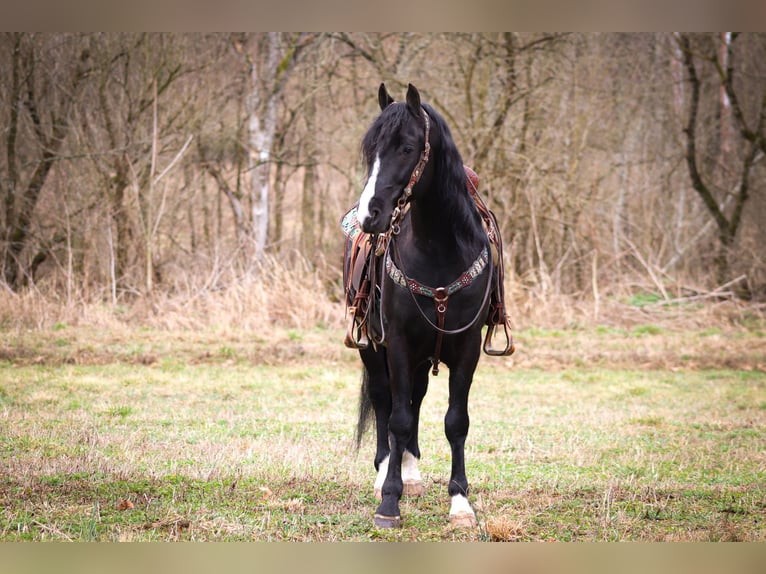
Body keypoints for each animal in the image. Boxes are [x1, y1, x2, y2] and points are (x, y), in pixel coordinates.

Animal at [356, 82, 498, 532]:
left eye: (406, 147)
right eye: (370, 150)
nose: (370, 215)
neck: (440, 249)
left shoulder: (467, 348)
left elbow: (456, 422)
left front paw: (460, 502)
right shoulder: (398, 343)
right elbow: (397, 418)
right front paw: (389, 501)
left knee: (414, 398)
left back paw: (412, 473)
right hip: (373, 348)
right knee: (386, 400)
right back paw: (387, 471)